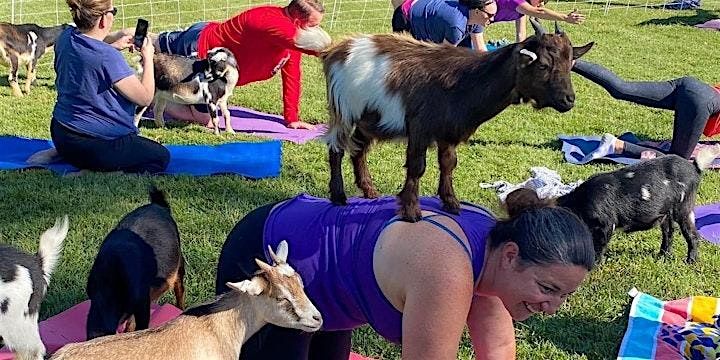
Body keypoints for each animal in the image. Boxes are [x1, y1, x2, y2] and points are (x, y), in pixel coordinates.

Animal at [86, 186, 186, 340]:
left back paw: (180, 308)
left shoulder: (142, 302)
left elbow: (141, 325)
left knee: (179, 288)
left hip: (178, 263)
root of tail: (157, 205)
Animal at [324, 20, 592, 222]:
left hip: (368, 118)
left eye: (570, 64)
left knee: (358, 149)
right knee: (336, 148)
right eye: (544, 65)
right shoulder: (420, 128)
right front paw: (411, 211)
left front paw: (451, 203)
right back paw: (339, 196)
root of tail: (338, 49)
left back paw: (369, 190)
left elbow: (448, 164)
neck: (464, 81)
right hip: (344, 109)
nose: (568, 100)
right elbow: (417, 167)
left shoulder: (448, 132)